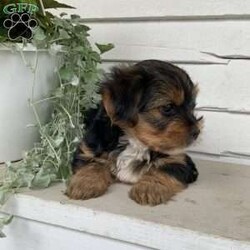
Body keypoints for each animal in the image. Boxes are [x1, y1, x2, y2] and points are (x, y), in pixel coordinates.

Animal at [66, 60, 201, 205]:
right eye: (167, 107)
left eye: (192, 107)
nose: (197, 132)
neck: (136, 142)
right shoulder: (89, 149)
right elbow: (92, 164)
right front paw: (84, 184)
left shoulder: (179, 159)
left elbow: (165, 170)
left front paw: (149, 188)